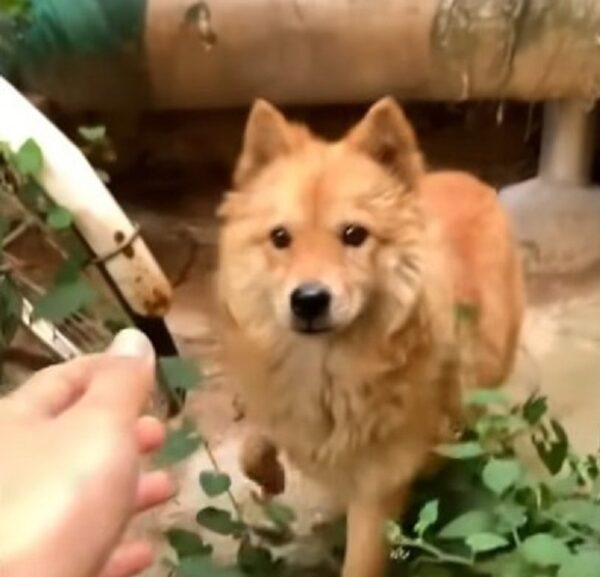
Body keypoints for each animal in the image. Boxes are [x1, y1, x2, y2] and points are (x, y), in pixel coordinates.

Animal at [214, 99, 520, 576]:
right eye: (280, 237)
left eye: (353, 235)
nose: (308, 300)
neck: (325, 375)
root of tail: (471, 179)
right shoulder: (281, 402)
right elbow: (256, 441)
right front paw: (269, 474)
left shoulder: (377, 489)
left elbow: (361, 561)